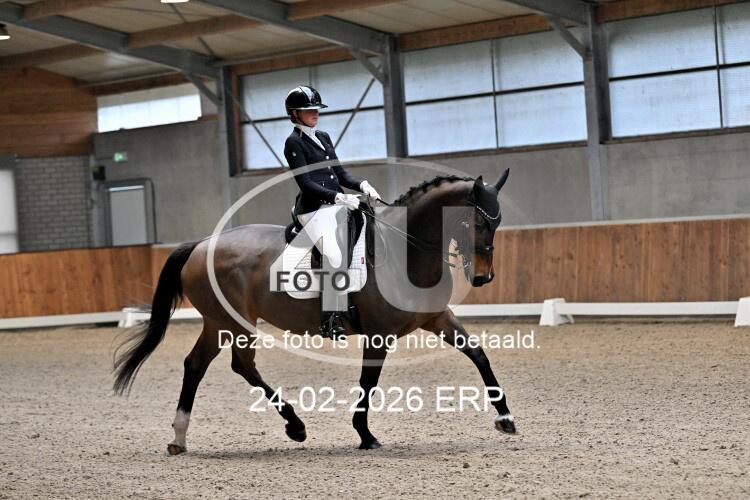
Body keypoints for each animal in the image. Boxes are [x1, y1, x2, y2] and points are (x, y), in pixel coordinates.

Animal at [113, 169, 515, 455]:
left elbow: (478, 354)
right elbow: (368, 382)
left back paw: (180, 438)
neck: (405, 251)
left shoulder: (437, 319)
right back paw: (295, 425)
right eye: (476, 222)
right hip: (236, 324)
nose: (483, 277)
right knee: (241, 365)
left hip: (217, 323)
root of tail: (201, 245)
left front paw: (506, 418)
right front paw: (365, 434)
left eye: (497, 222)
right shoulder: (378, 335)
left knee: (196, 364)